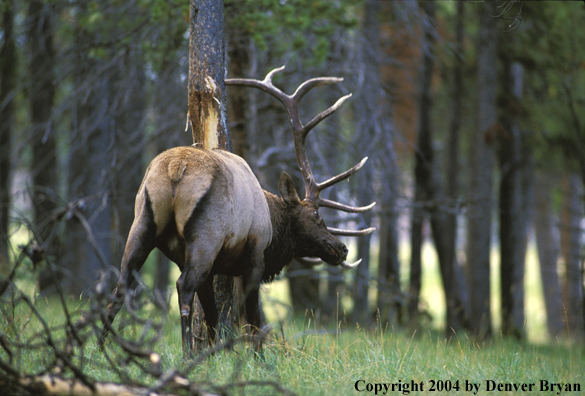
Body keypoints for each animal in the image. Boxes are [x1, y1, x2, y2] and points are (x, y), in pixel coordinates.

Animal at [98, 66, 374, 354]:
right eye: (316, 217)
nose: (341, 249)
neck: (273, 225)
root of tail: (176, 168)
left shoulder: (212, 269)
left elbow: (212, 317)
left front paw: (213, 353)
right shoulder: (255, 254)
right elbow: (253, 318)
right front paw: (257, 356)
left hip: (143, 222)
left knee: (121, 286)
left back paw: (100, 346)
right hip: (206, 236)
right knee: (183, 285)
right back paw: (186, 354)